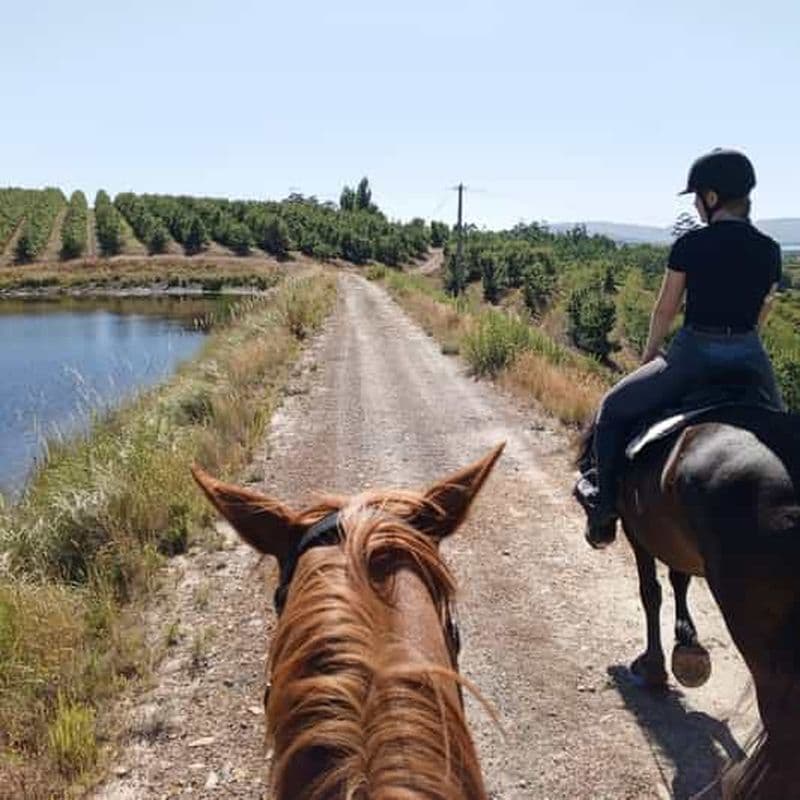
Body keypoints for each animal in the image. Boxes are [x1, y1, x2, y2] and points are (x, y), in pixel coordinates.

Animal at [577, 405, 800, 798]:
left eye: (590, 463)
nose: (597, 535)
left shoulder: (639, 532)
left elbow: (651, 592)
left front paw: (653, 668)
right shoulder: (676, 541)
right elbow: (679, 579)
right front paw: (687, 643)